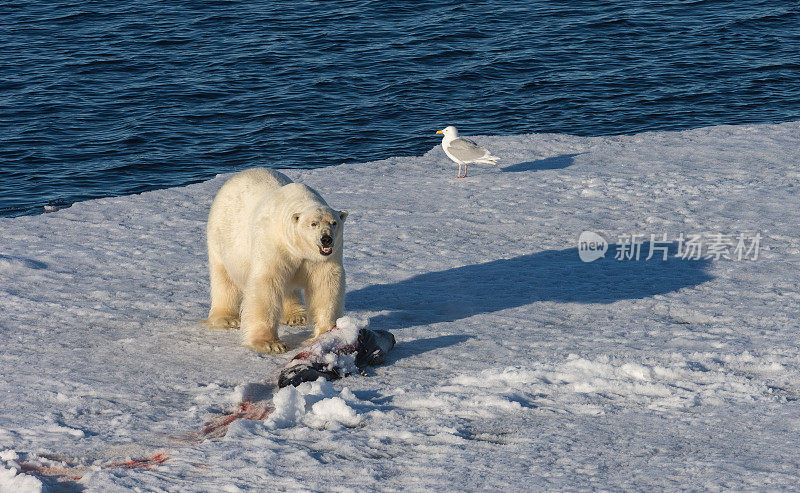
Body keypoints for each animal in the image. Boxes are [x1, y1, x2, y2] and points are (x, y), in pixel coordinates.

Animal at [205, 167, 346, 352]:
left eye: (334, 223)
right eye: (313, 223)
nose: (326, 239)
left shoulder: (323, 257)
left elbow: (325, 283)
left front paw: (325, 333)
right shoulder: (272, 242)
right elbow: (267, 283)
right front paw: (271, 344)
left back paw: (296, 316)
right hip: (221, 236)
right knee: (224, 279)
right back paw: (228, 319)